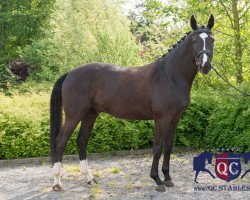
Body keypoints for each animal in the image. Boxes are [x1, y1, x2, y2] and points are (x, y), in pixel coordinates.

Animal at [50, 14, 215, 191]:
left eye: (212, 40)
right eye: (195, 40)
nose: (205, 66)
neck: (169, 75)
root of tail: (70, 73)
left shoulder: (175, 118)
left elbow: (169, 146)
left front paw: (168, 178)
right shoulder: (162, 118)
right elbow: (157, 147)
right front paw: (157, 179)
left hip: (90, 114)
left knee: (81, 141)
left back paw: (90, 178)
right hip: (74, 115)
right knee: (61, 141)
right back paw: (57, 183)